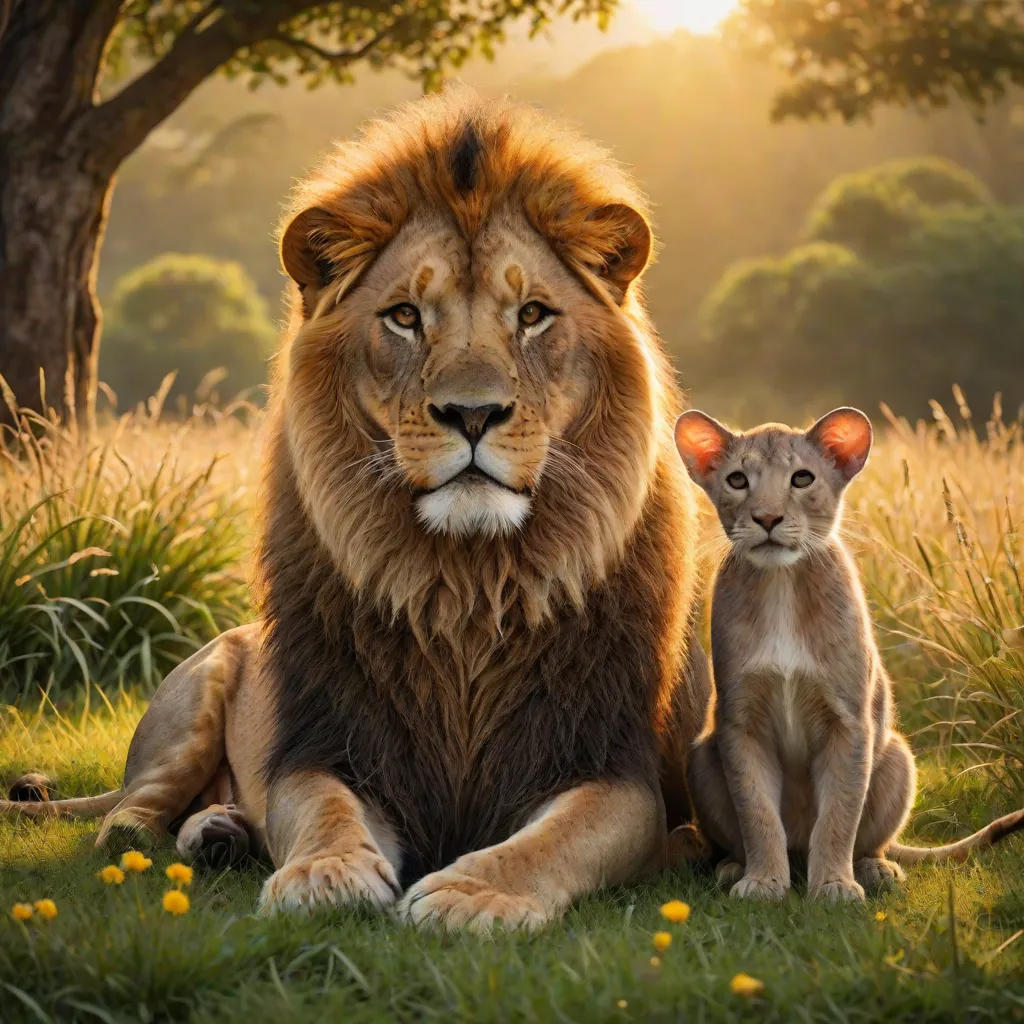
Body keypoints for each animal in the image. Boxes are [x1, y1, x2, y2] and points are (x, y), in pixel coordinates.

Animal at [3, 89, 709, 931]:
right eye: (404, 316)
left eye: (534, 314)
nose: (473, 413)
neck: (469, 588)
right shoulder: (331, 744)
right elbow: (321, 809)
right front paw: (326, 874)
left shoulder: (610, 766)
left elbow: (555, 838)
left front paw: (474, 892)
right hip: (198, 691)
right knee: (126, 817)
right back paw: (186, 835)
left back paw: (223, 831)